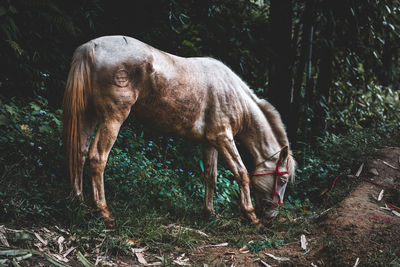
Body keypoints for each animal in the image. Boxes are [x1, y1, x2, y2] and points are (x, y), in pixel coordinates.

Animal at [61, 36, 294, 228]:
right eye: (282, 181)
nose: (271, 216)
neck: (233, 94)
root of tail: (91, 47)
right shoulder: (223, 138)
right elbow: (241, 173)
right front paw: (250, 215)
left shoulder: (210, 142)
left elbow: (211, 176)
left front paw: (210, 213)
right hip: (112, 119)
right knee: (97, 157)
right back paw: (104, 212)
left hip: (89, 116)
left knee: (79, 152)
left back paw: (78, 201)